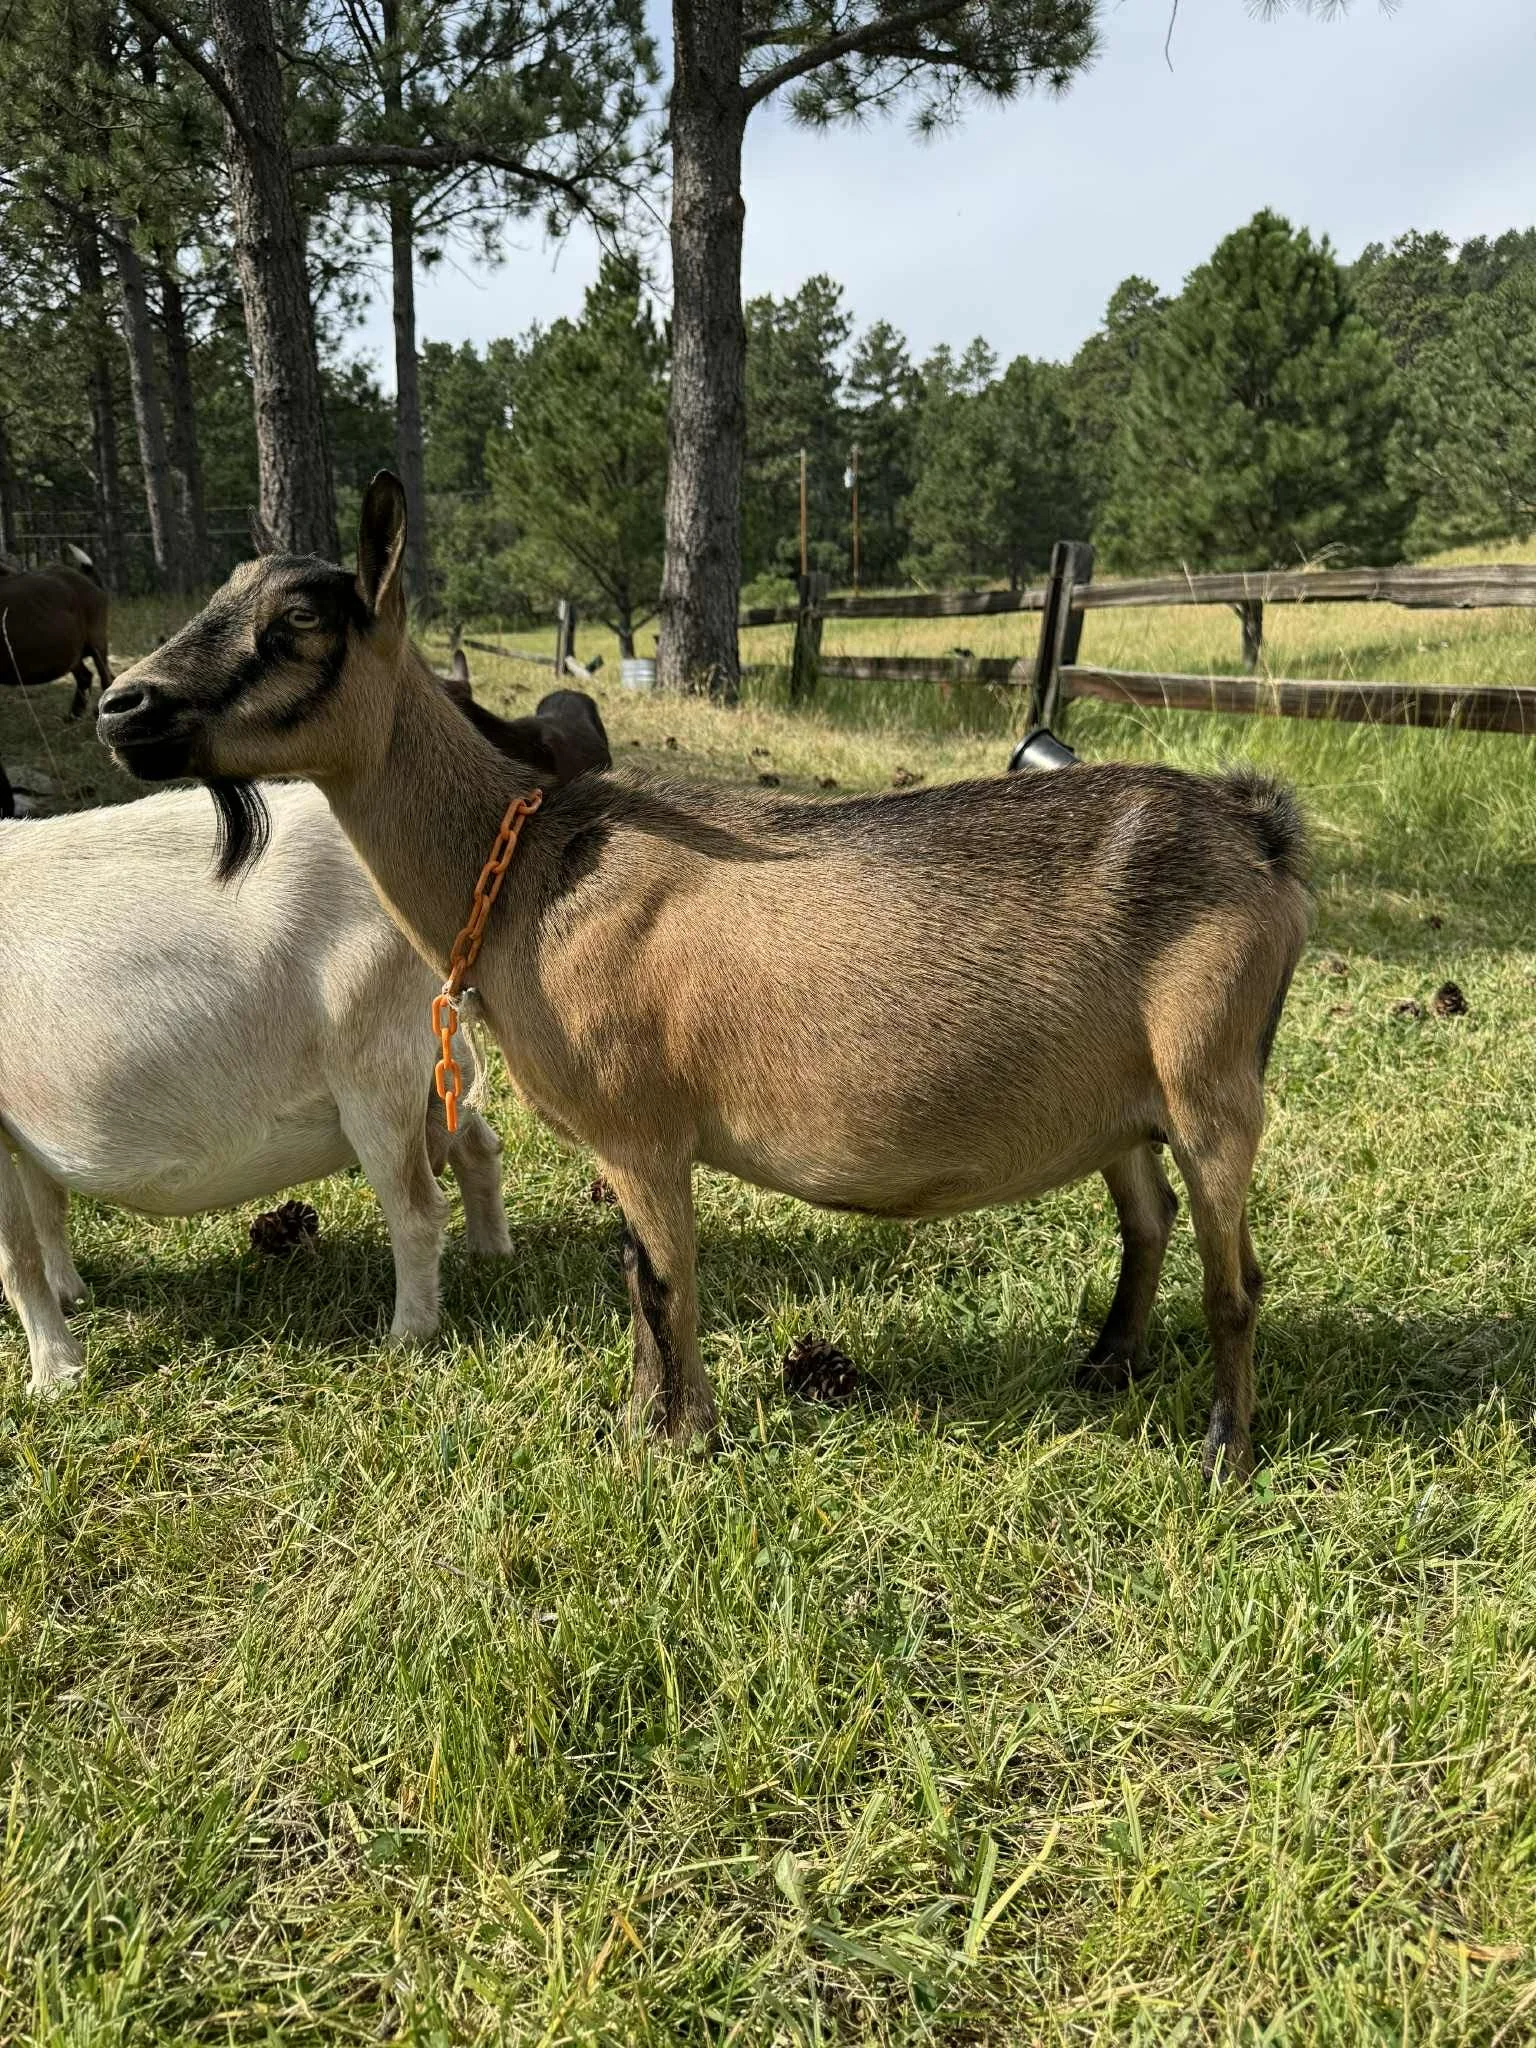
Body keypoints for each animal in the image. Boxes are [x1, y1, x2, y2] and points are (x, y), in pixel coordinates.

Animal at [0, 548, 112, 717]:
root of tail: (89, 581)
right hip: (74, 652)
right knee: (86, 676)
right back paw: (74, 715)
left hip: (97, 642)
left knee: (106, 678)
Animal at [3, 661, 611, 1396]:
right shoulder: (28, 1116)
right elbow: (47, 1207)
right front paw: (71, 1297)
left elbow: (16, 1256)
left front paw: (54, 1377)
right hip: (434, 1047)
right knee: (476, 1141)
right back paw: (490, 1252)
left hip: (374, 1063)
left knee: (416, 1207)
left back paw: (408, 1335)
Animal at [100, 477, 1311, 1483]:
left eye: (301, 621)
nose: (123, 704)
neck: (529, 869)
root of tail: (1260, 832)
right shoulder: (620, 1140)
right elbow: (637, 1279)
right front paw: (638, 1421)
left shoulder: (643, 1129)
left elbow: (668, 1282)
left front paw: (682, 1443)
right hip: (1120, 1101)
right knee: (1148, 1216)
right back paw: (1106, 1365)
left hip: (1212, 1082)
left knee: (1235, 1280)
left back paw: (1224, 1449)